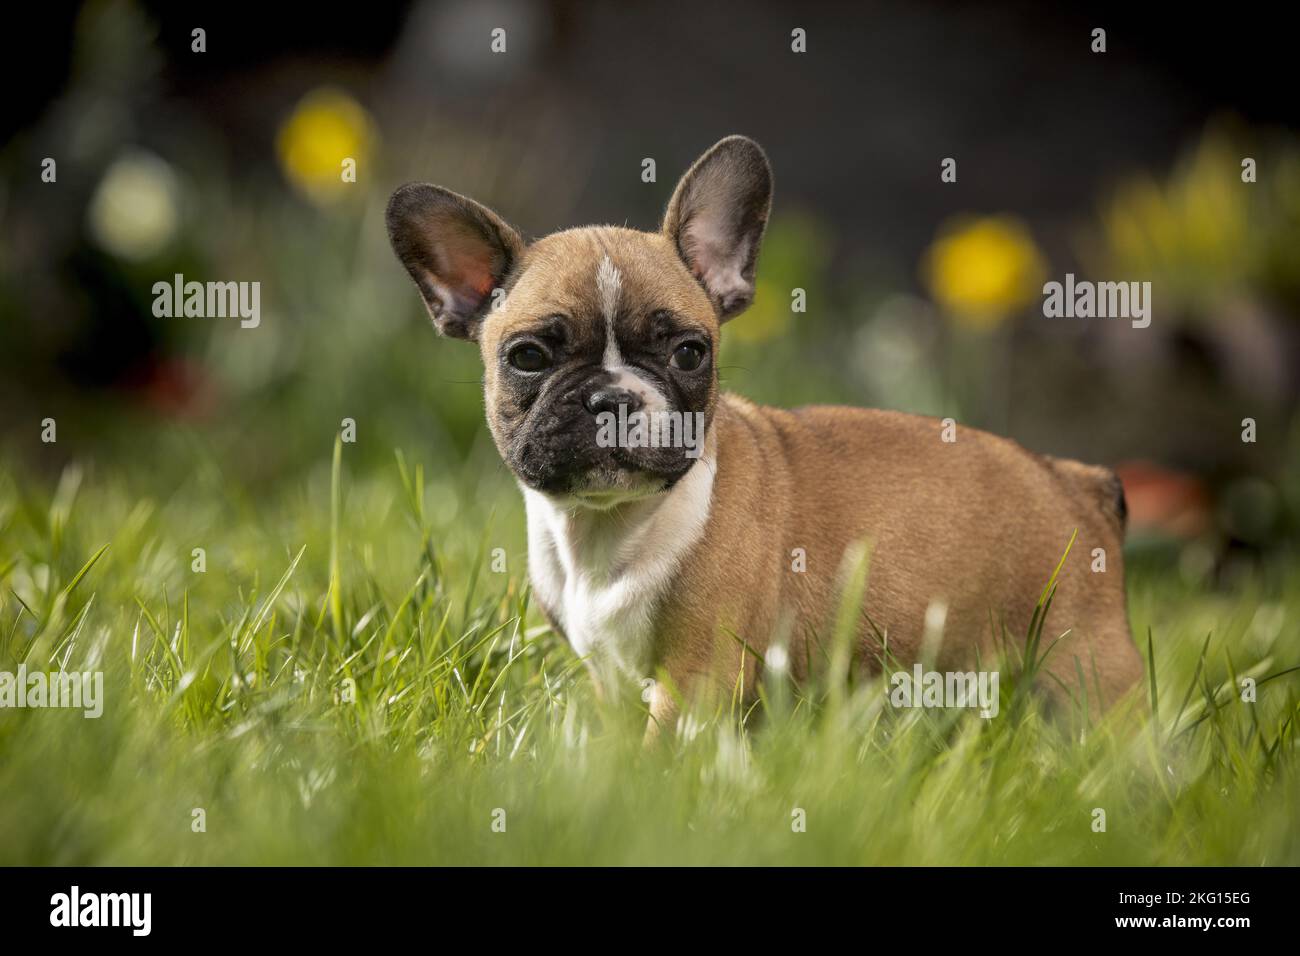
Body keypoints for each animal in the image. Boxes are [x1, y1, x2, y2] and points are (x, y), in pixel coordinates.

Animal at [382, 134, 1138, 733]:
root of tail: (1076, 482)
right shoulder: (613, 679)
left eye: (690, 352)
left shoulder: (699, 676)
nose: (612, 398)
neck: (611, 529)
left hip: (1080, 666)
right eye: (530, 357)